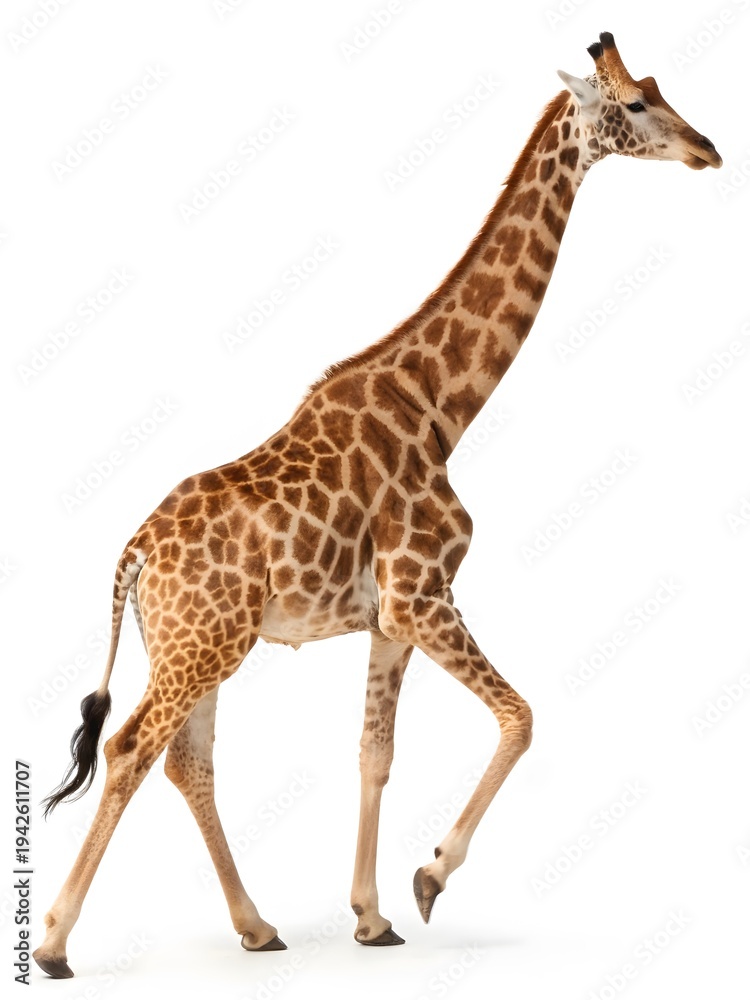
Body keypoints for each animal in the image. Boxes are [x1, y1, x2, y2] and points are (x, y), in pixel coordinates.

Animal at [34, 32, 721, 978]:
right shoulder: (424, 593)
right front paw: (429, 878)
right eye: (637, 104)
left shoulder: (389, 617)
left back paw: (258, 927)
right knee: (132, 750)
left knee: (187, 764)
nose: (709, 150)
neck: (440, 407)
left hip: (198, 648)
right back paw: (54, 943)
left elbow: (375, 752)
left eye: (657, 89)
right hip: (200, 648)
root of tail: (132, 555)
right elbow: (521, 716)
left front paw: (370, 915)